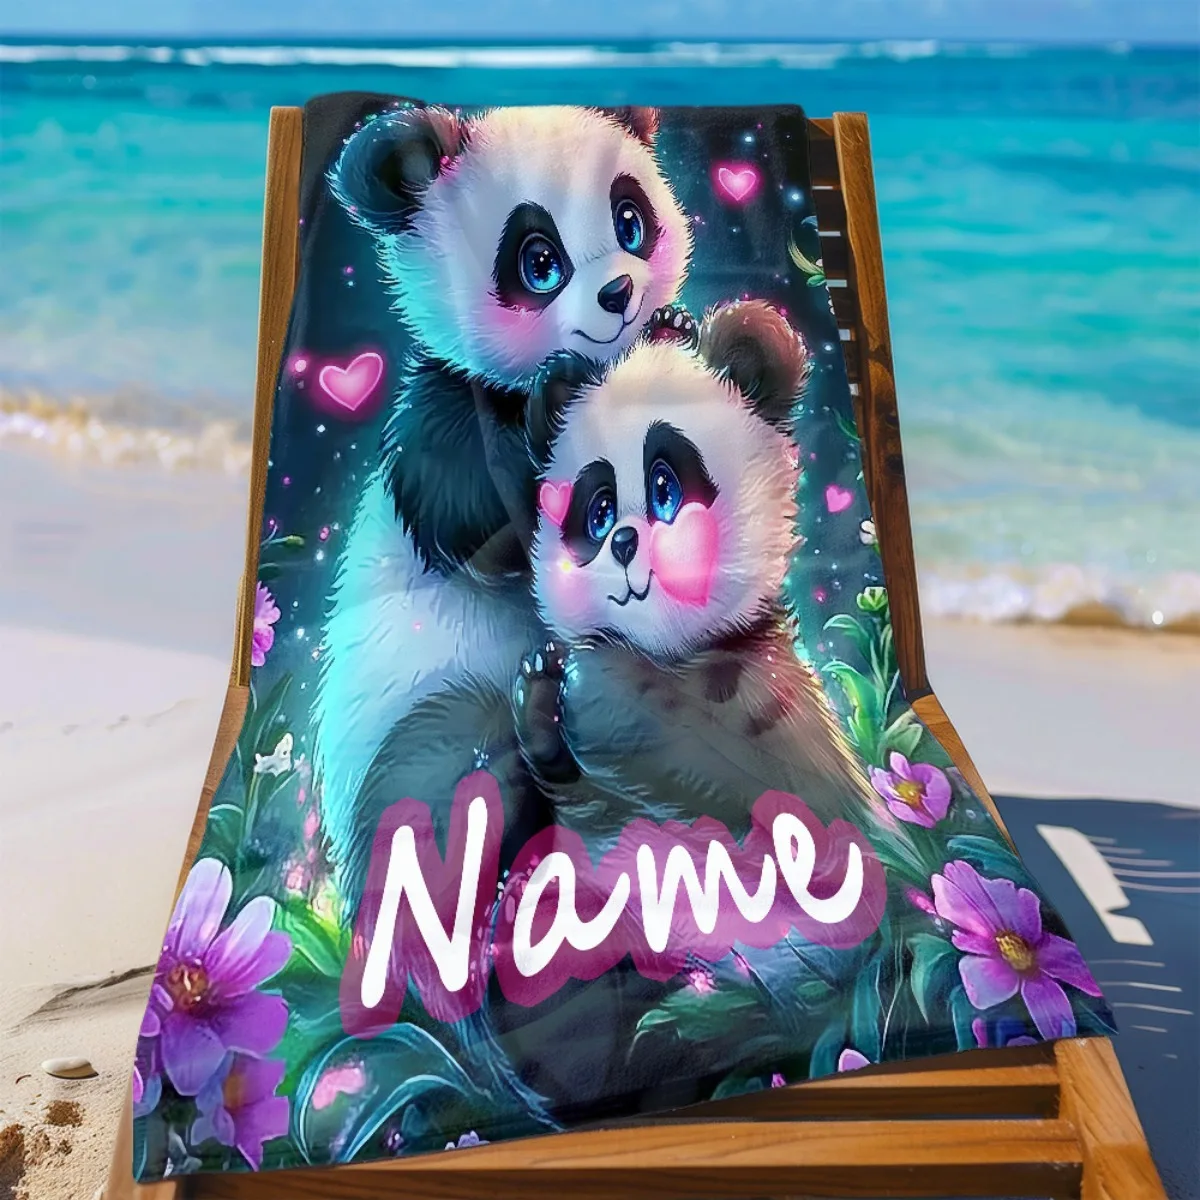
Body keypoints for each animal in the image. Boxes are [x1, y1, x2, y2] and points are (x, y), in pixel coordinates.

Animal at [315, 103, 692, 906]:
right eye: (538, 261)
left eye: (630, 221)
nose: (619, 294)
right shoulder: (446, 410)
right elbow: (479, 530)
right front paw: (555, 403)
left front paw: (673, 327)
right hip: (416, 717)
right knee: (435, 803)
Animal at [515, 300, 875, 846]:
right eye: (599, 513)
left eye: (665, 487)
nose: (623, 543)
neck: (672, 656)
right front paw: (538, 688)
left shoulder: (771, 723)